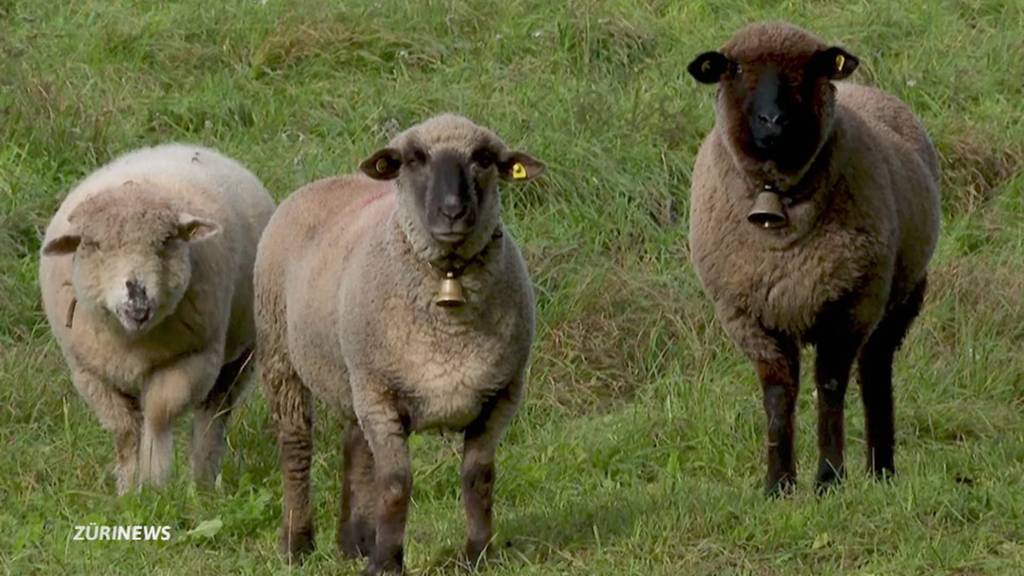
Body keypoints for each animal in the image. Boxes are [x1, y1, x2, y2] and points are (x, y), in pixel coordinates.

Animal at [40, 142, 276, 487]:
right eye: (95, 245)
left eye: (166, 240)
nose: (137, 297)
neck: (132, 342)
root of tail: (182, 146)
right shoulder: (90, 374)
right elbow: (124, 430)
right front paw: (128, 487)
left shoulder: (194, 357)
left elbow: (158, 414)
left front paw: (155, 480)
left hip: (241, 354)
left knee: (213, 415)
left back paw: (203, 482)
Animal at [252, 113, 548, 573]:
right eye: (414, 159)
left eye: (483, 159)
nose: (452, 211)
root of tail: (326, 181)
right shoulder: (382, 397)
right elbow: (395, 483)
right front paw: (387, 563)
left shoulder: (500, 395)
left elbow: (479, 476)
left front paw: (478, 554)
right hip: (281, 353)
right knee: (296, 446)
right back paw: (296, 544)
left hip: (354, 373)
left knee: (354, 447)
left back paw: (353, 542)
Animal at [684, 23, 937, 494]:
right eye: (735, 68)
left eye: (810, 69)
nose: (772, 121)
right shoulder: (748, 315)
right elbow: (777, 396)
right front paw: (778, 484)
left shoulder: (849, 306)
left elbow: (831, 385)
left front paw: (828, 478)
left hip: (901, 297)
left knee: (875, 373)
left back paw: (881, 471)